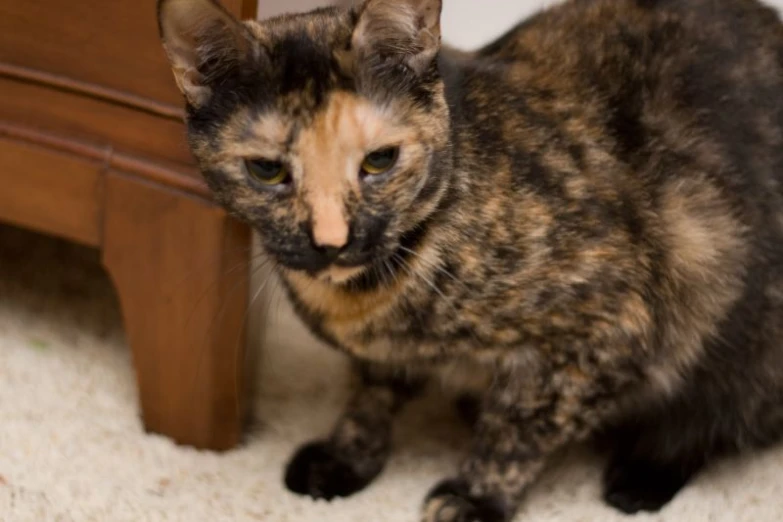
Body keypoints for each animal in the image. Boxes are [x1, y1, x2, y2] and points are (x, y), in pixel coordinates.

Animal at [158, 0, 783, 516]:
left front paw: (476, 496)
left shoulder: (610, 329)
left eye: (379, 161)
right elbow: (370, 396)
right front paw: (347, 457)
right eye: (267, 171)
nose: (332, 240)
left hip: (728, 304)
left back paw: (640, 479)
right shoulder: (379, 356)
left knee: (710, 421)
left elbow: (519, 426)